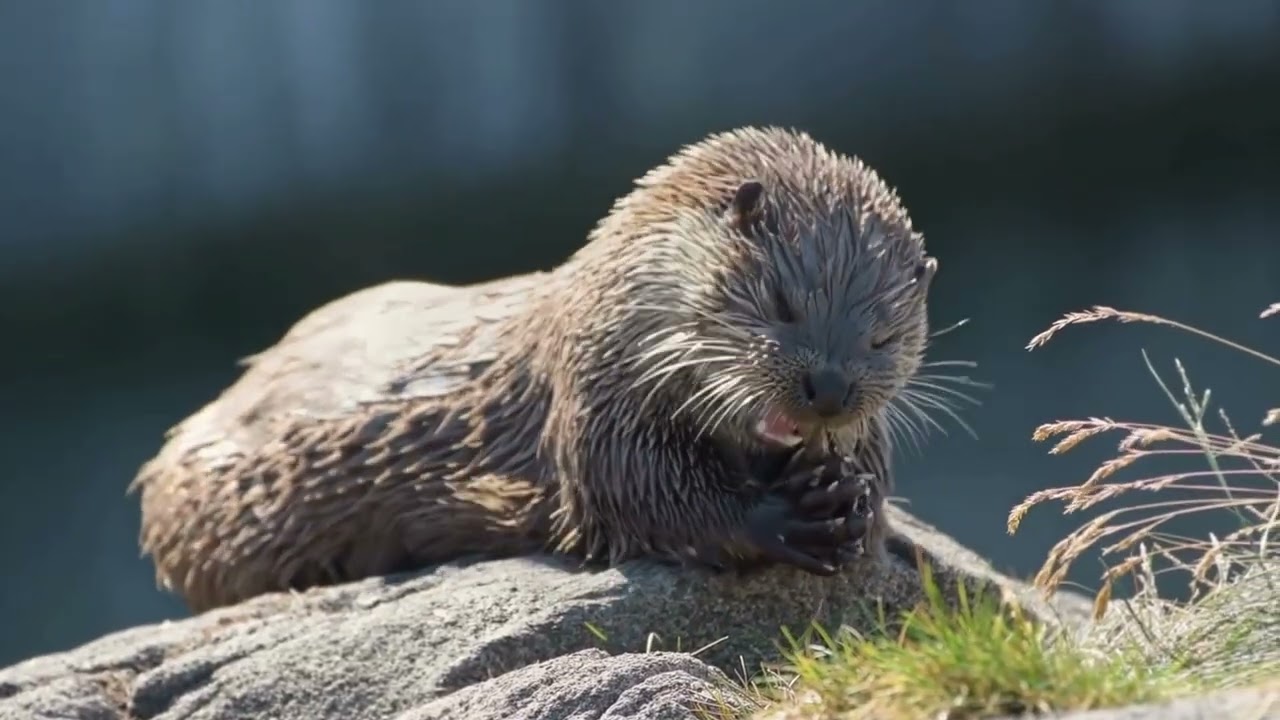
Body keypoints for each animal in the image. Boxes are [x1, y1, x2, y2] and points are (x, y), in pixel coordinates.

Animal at [131, 126, 941, 612]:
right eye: (781, 303)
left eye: (884, 336)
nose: (829, 388)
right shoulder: (593, 396)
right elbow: (640, 494)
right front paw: (785, 517)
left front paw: (851, 498)